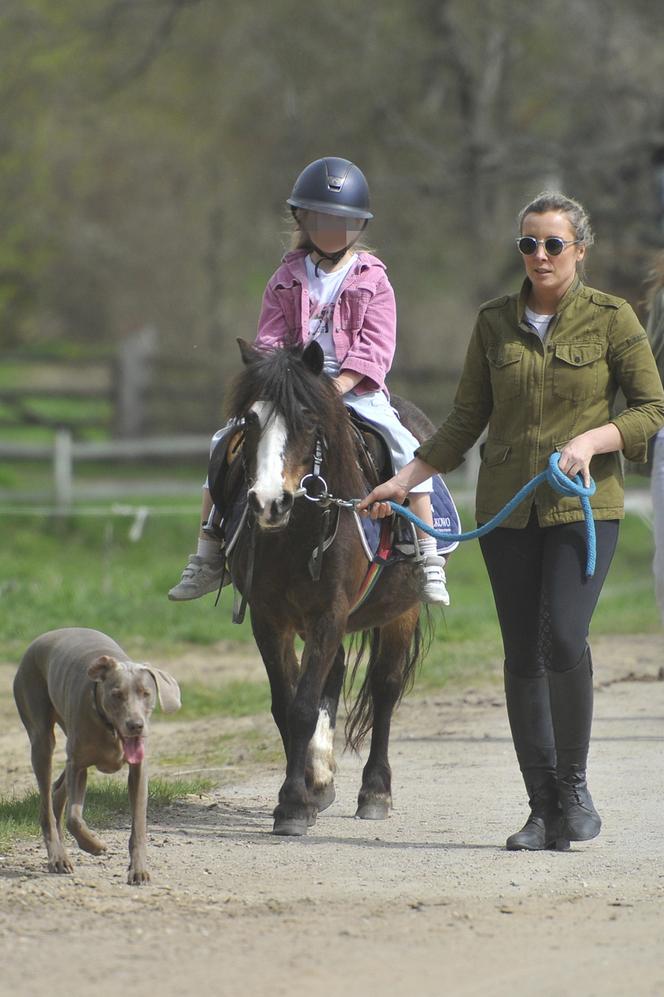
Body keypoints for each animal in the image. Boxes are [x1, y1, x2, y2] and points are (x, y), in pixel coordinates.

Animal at [14, 628, 182, 884]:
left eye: (146, 693)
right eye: (116, 694)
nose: (135, 725)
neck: (110, 729)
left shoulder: (138, 770)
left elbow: (139, 824)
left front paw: (138, 869)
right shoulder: (77, 764)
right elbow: (74, 818)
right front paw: (94, 845)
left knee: (58, 789)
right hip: (41, 734)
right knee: (47, 804)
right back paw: (58, 857)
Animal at [213, 340, 438, 832]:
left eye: (307, 418)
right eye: (250, 419)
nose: (269, 502)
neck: (296, 532)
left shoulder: (329, 614)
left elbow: (302, 706)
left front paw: (293, 805)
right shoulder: (269, 619)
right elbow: (288, 703)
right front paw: (305, 792)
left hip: (400, 613)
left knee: (385, 689)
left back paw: (375, 791)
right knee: (331, 679)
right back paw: (320, 777)